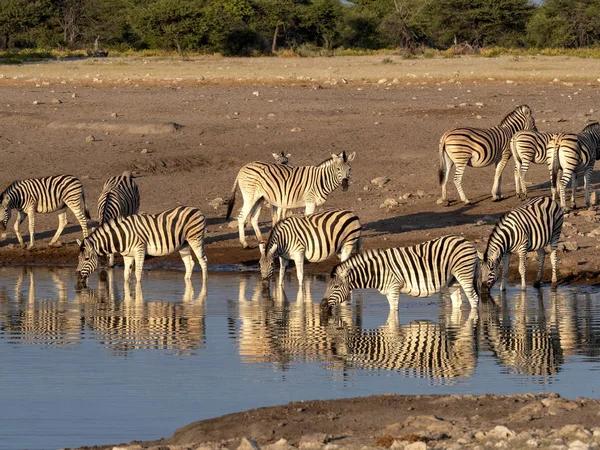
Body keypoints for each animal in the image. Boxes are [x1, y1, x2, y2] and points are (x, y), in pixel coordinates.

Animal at [76, 206, 207, 286]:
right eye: (78, 259)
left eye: (86, 259)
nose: (77, 276)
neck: (122, 236)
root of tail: (197, 209)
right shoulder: (127, 255)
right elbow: (126, 276)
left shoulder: (139, 250)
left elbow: (138, 274)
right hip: (183, 245)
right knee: (190, 263)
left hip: (195, 239)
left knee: (203, 261)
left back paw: (204, 285)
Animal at [322, 234, 480, 314]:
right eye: (328, 286)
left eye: (336, 287)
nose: (322, 305)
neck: (376, 271)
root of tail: (467, 241)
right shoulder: (388, 291)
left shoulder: (394, 288)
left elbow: (393, 312)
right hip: (453, 279)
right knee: (457, 301)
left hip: (464, 274)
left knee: (474, 299)